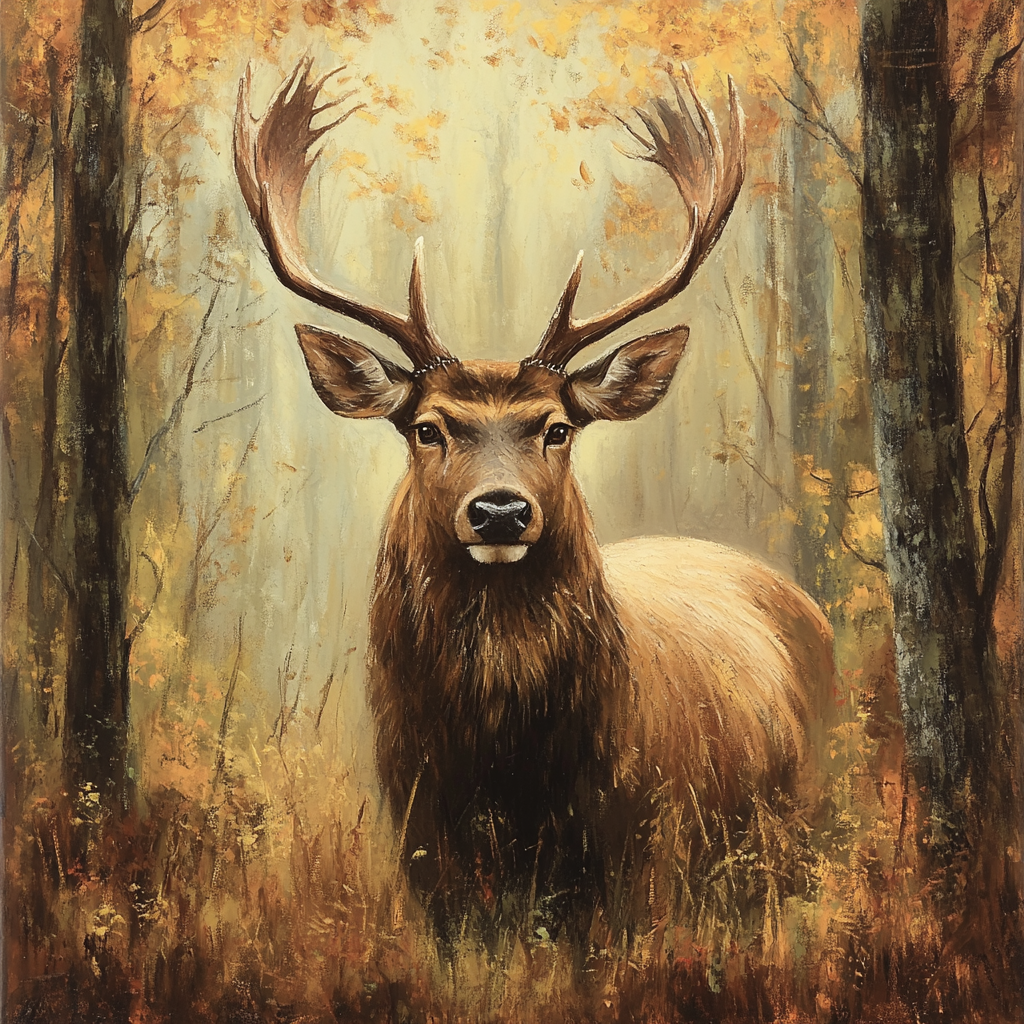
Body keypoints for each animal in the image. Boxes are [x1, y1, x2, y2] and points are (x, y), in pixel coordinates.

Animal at [234, 57, 834, 949]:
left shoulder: (641, 853)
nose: (499, 512)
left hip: (800, 826)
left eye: (556, 427)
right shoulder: (424, 852)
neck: (505, 776)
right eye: (427, 427)